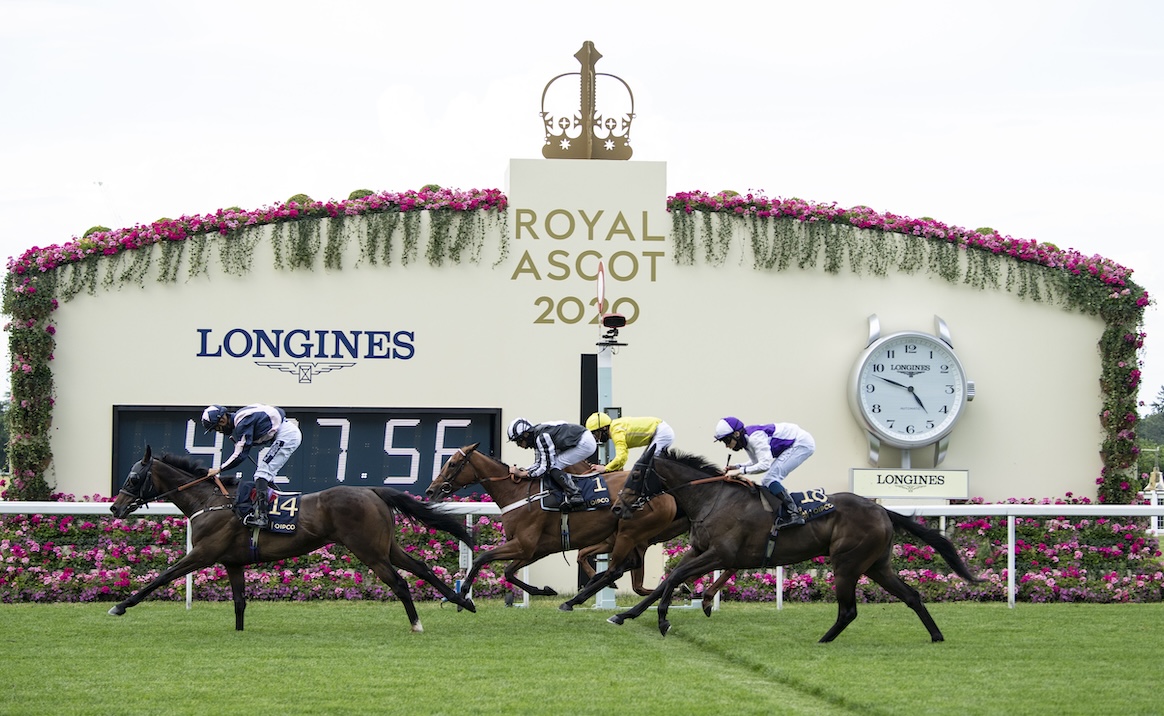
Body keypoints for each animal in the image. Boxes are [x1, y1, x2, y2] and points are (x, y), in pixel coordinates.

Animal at [105, 447, 477, 633]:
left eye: (134, 478)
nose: (115, 507)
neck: (210, 501)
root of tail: (372, 490)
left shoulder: (203, 553)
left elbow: (162, 576)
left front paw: (120, 606)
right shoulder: (233, 562)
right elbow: (239, 602)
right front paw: (239, 632)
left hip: (368, 551)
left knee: (400, 582)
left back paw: (417, 624)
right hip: (386, 546)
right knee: (421, 568)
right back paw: (463, 601)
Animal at [423, 442, 684, 610]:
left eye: (453, 463)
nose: (431, 491)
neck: (517, 492)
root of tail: (665, 494)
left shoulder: (524, 544)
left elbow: (481, 558)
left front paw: (462, 596)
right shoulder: (535, 549)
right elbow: (508, 572)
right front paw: (545, 590)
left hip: (630, 533)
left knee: (618, 569)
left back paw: (576, 600)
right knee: (628, 569)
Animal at [609, 447, 982, 642]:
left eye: (637, 475)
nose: (617, 507)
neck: (712, 499)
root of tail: (881, 508)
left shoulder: (719, 554)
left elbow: (673, 578)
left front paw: (663, 621)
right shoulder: (700, 551)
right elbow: (666, 582)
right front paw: (626, 615)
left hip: (847, 563)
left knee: (849, 609)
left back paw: (824, 640)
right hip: (877, 565)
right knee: (912, 596)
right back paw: (936, 636)